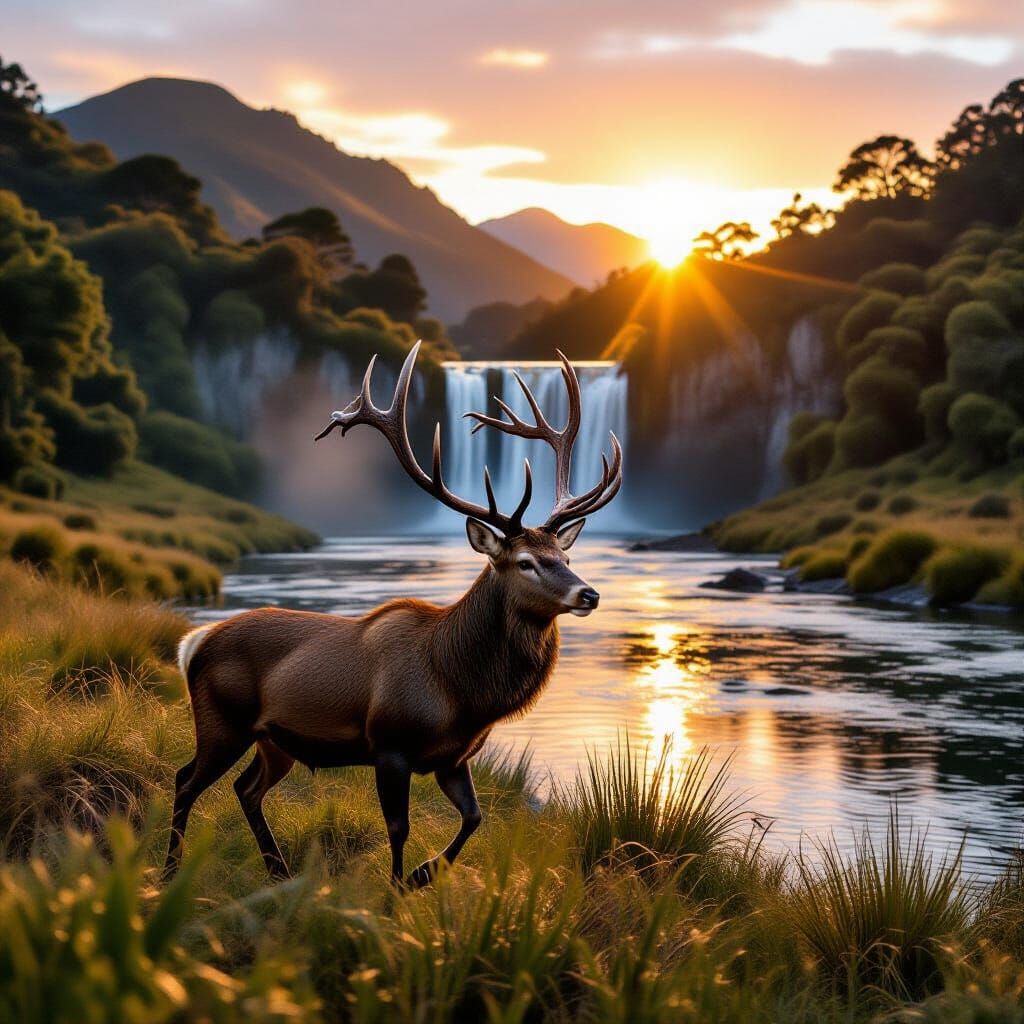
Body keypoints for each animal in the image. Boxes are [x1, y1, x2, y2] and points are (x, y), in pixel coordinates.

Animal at [164, 341, 622, 888]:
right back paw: (169, 873)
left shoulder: (453, 758)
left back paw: (277, 872)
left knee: (246, 789)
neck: (459, 690)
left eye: (566, 557)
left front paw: (424, 873)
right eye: (525, 562)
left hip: (274, 740)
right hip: (222, 719)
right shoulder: (389, 744)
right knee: (185, 779)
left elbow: (474, 818)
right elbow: (399, 828)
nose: (588, 594)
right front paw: (398, 886)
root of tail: (192, 643)